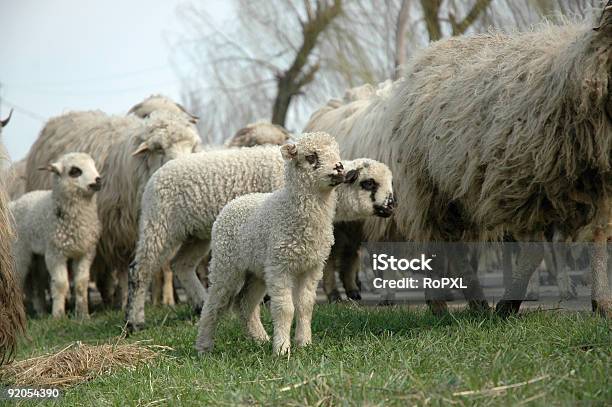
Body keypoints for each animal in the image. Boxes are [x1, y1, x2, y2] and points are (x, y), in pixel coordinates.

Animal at [10, 153, 101, 318]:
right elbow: (60, 284)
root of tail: (16, 202)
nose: (98, 180)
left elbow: (81, 283)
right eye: (75, 171)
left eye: (93, 165)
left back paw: (41, 312)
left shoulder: (85, 252)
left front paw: (83, 315)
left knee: (37, 283)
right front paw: (58, 315)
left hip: (38, 256)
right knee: (18, 280)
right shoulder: (55, 253)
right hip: (19, 251)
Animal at [125, 147, 394, 332]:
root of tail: (154, 177)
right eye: (368, 183)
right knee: (140, 270)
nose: (391, 205)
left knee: (181, 264)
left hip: (196, 233)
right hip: (159, 223)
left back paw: (200, 304)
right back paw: (135, 322)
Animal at [197, 132, 350, 356]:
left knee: (245, 303)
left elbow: (305, 306)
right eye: (311, 157)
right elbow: (284, 308)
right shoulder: (280, 266)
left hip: (257, 270)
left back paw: (260, 339)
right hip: (226, 264)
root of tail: (235, 202)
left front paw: (304, 343)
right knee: (213, 304)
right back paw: (204, 346)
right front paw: (282, 349)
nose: (339, 168)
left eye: (337, 152)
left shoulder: (312, 267)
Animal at [304, 7, 612, 318]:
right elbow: (535, 251)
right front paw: (508, 304)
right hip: (427, 187)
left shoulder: (594, 188)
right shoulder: (521, 186)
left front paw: (601, 303)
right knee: (431, 242)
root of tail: (430, 53)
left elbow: (594, 239)